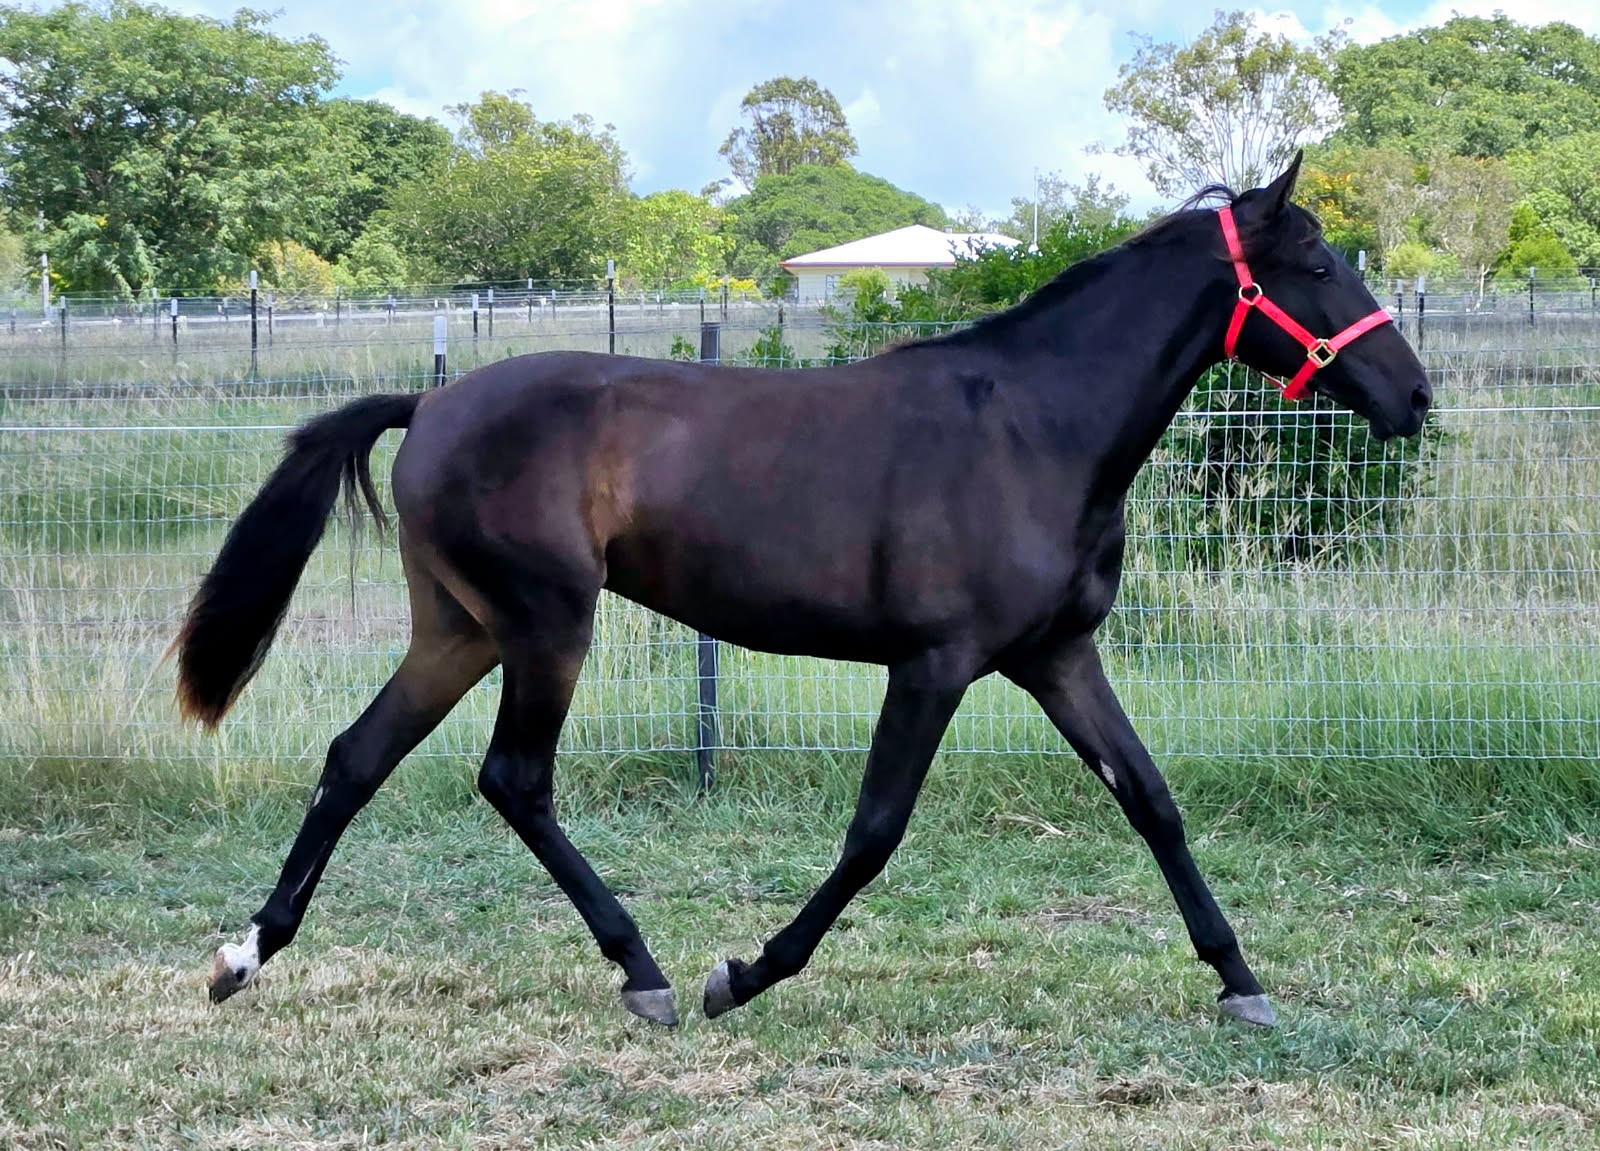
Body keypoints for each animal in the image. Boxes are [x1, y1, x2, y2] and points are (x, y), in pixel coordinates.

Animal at [176, 154, 1429, 1029]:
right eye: (1317, 266)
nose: (1411, 394)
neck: (1033, 427)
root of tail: (431, 403)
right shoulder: (934, 664)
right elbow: (874, 831)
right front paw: (744, 972)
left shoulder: (1057, 656)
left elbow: (1152, 800)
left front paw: (1240, 979)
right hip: (547, 624)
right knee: (513, 778)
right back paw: (647, 972)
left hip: (464, 629)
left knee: (357, 756)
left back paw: (246, 954)